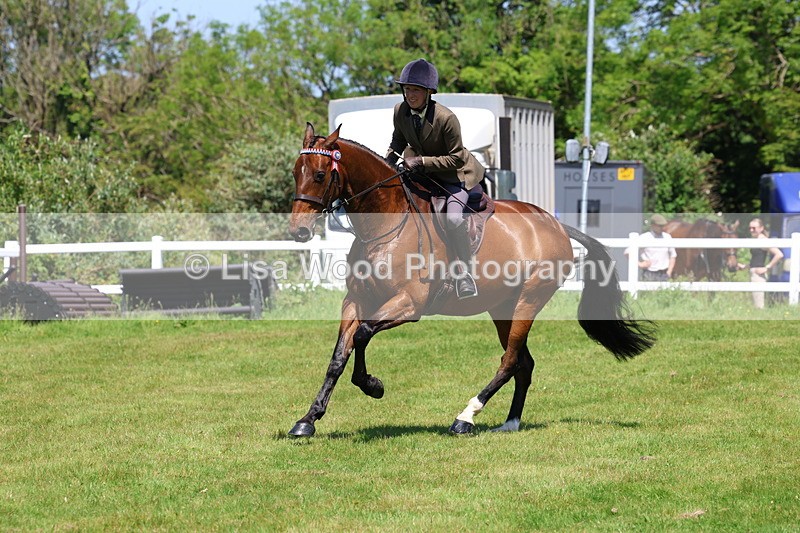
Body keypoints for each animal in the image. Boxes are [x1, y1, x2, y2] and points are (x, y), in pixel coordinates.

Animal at [287, 123, 656, 437]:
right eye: (295, 173)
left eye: (320, 174)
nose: (298, 231)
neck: (383, 225)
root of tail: (555, 225)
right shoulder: (355, 301)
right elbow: (338, 357)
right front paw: (308, 420)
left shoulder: (408, 304)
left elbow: (362, 335)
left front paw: (372, 385)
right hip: (503, 308)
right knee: (523, 363)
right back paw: (510, 422)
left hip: (529, 300)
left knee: (510, 361)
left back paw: (465, 417)